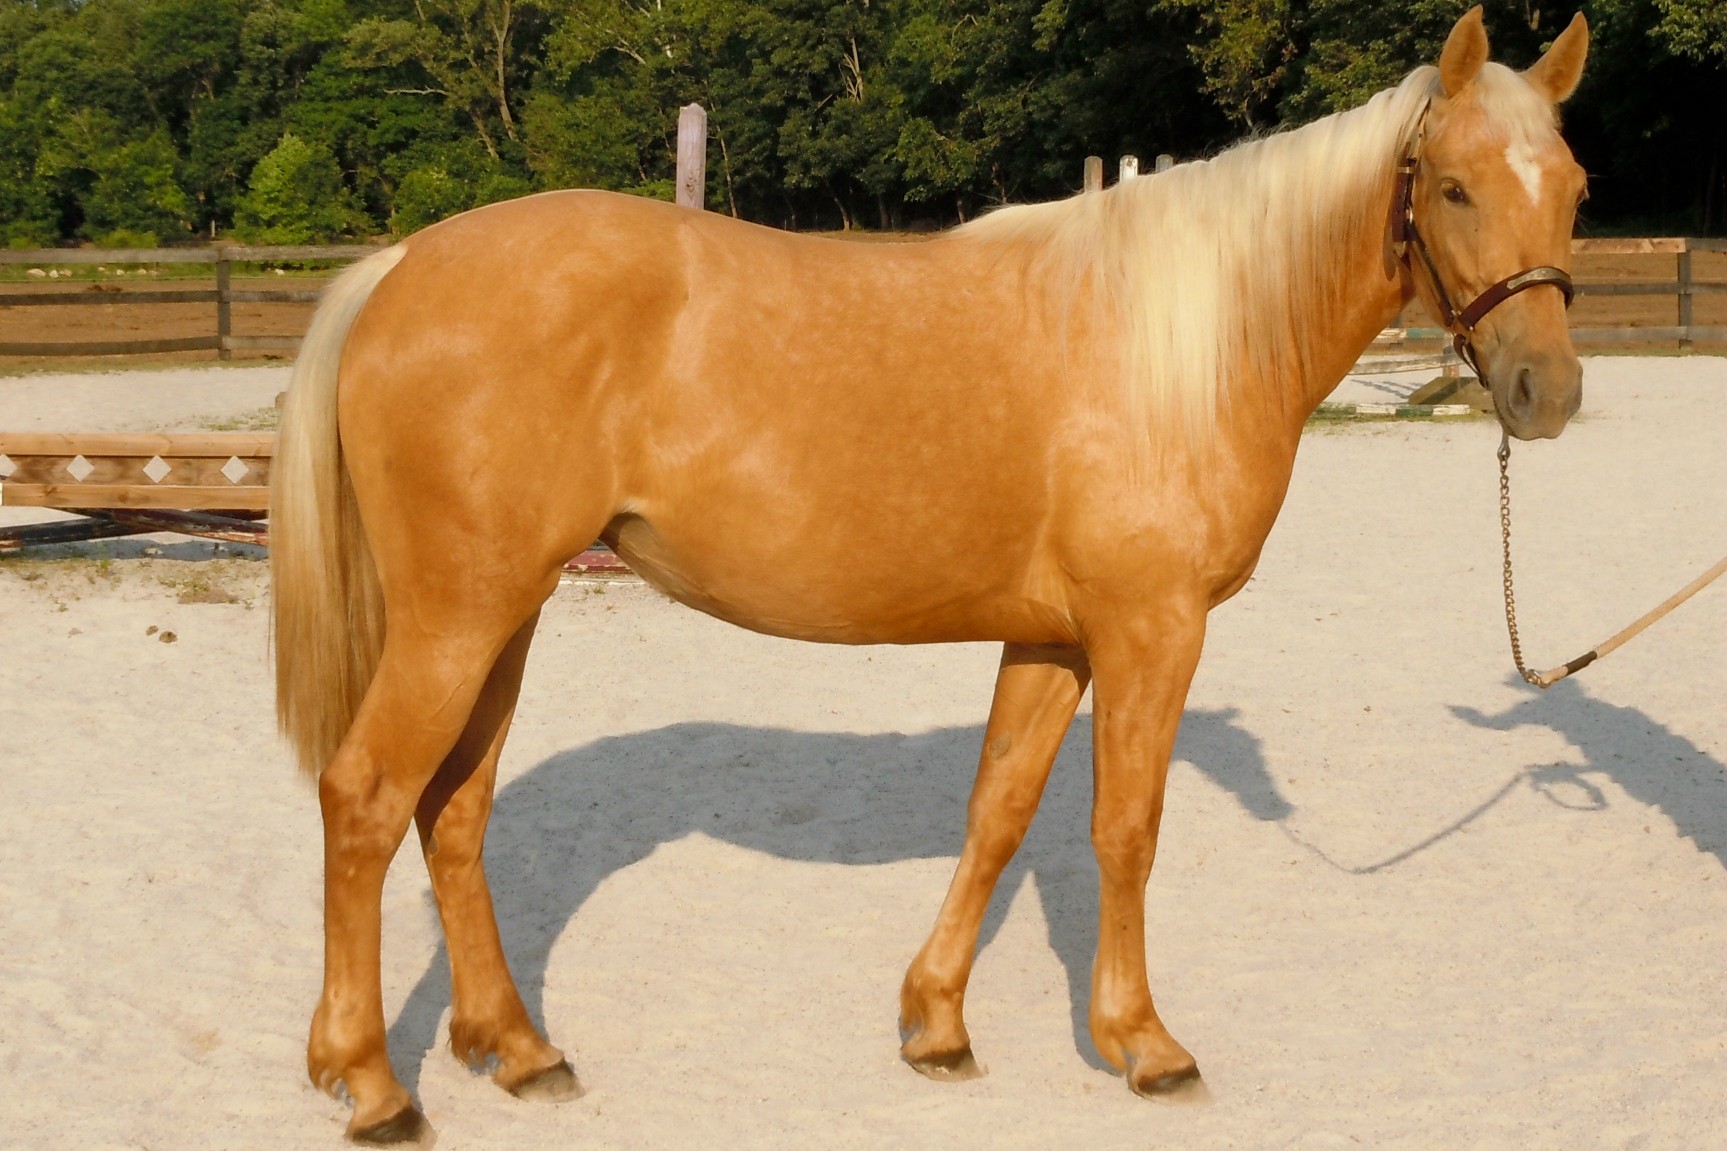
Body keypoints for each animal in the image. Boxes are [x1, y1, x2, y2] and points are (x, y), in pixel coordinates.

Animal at [271, 7, 1590, 1142]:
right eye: (1453, 186)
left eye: (1573, 188)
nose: (1546, 393)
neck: (1177, 343)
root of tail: (399, 264)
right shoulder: (1149, 628)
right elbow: (1125, 826)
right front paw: (1143, 1042)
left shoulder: (1053, 637)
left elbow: (997, 812)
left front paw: (937, 1024)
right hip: (459, 617)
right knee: (366, 797)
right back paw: (373, 1084)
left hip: (505, 616)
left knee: (453, 810)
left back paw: (516, 1047)